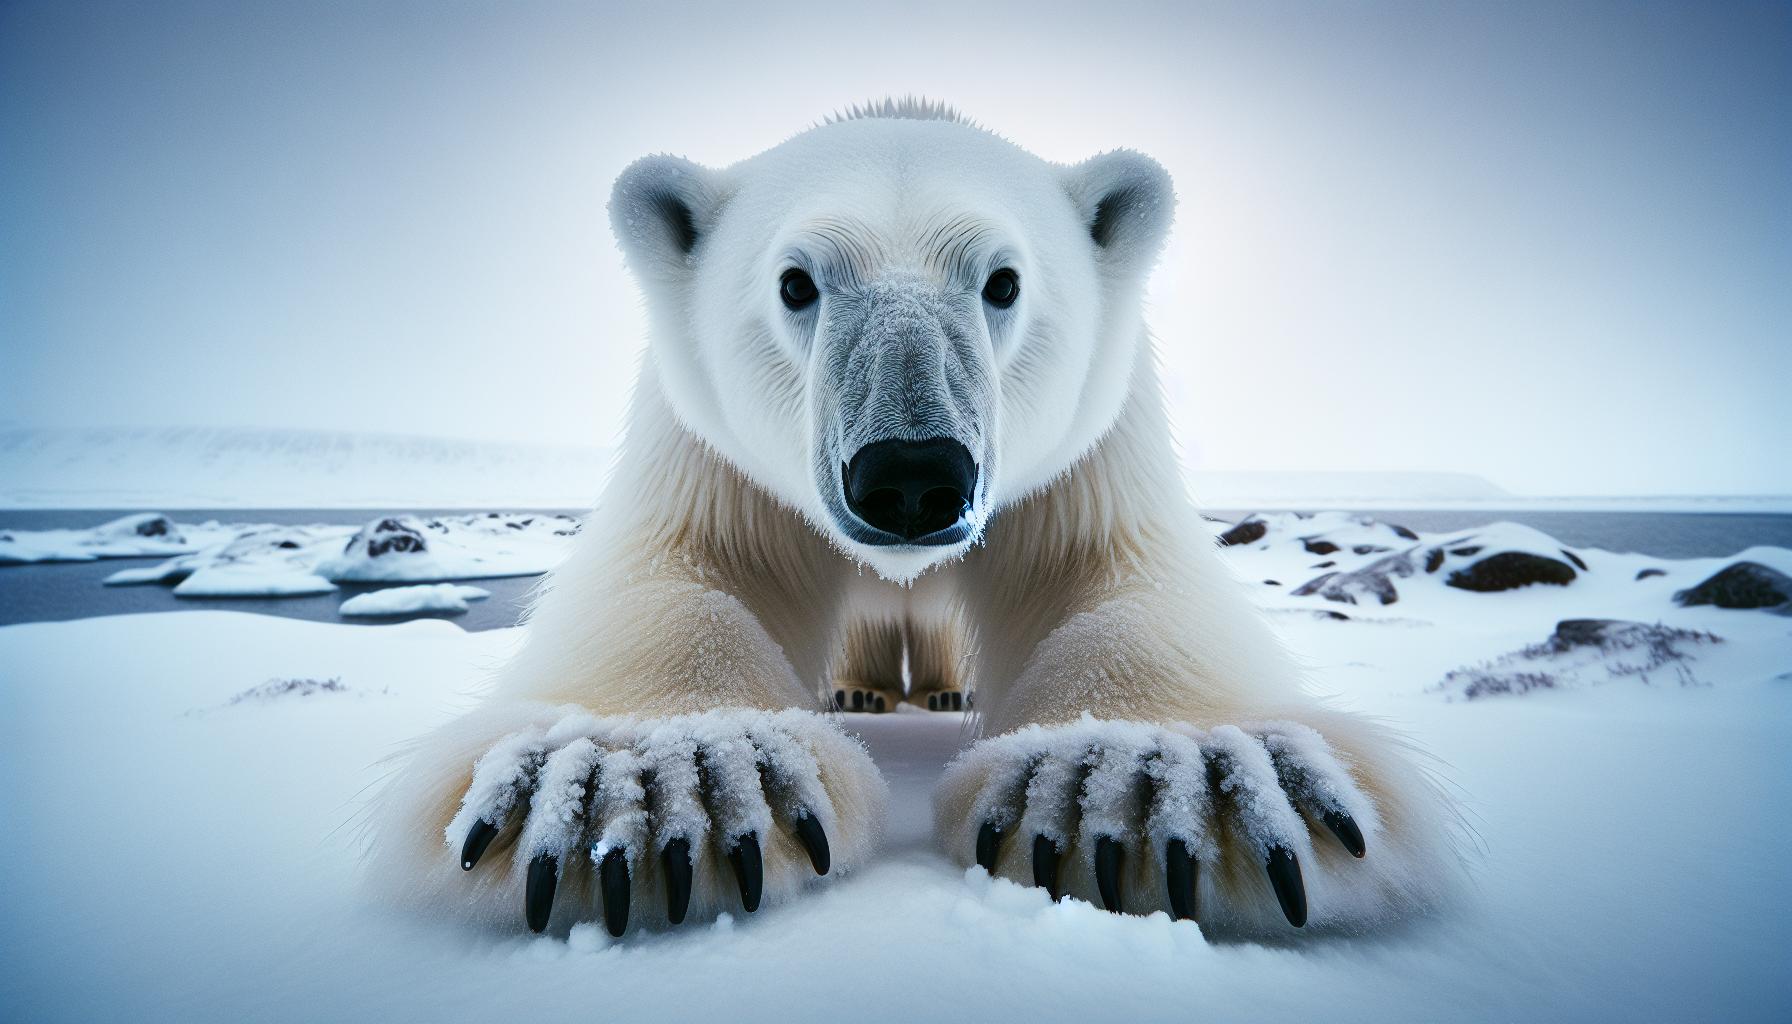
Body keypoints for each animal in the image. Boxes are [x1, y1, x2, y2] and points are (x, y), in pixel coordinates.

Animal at [367, 98, 1463, 942]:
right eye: (796, 282)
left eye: (1003, 282)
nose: (909, 476)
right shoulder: (712, 452)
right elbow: (676, 572)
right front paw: (650, 789)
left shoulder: (1085, 452)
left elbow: (1120, 575)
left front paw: (1161, 790)